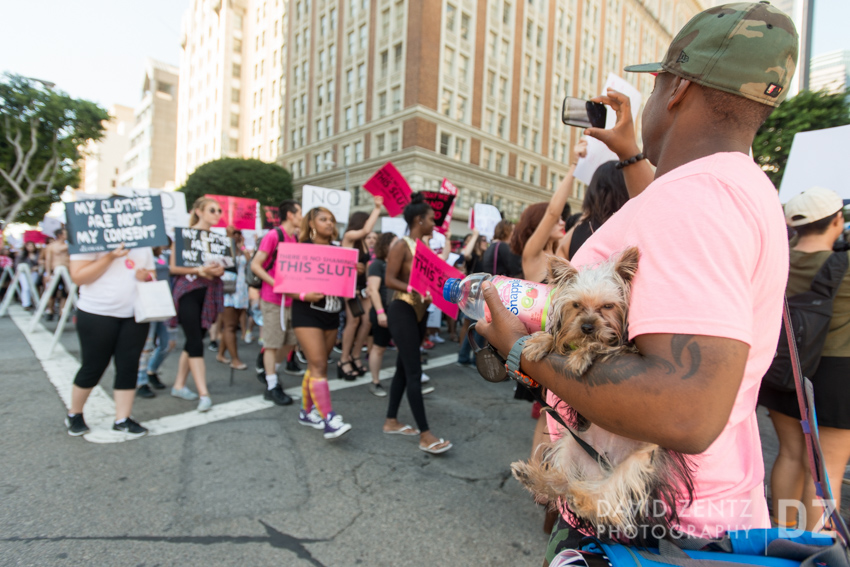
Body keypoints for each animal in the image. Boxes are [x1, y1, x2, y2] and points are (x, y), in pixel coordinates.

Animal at [510, 248, 688, 540]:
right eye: (576, 306)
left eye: (608, 306)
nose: (588, 327)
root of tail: (601, 470)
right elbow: (558, 341)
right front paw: (541, 342)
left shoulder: (628, 351)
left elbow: (604, 347)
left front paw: (583, 354)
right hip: (571, 444)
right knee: (565, 481)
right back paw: (536, 478)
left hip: (642, 461)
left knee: (608, 503)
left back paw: (583, 500)